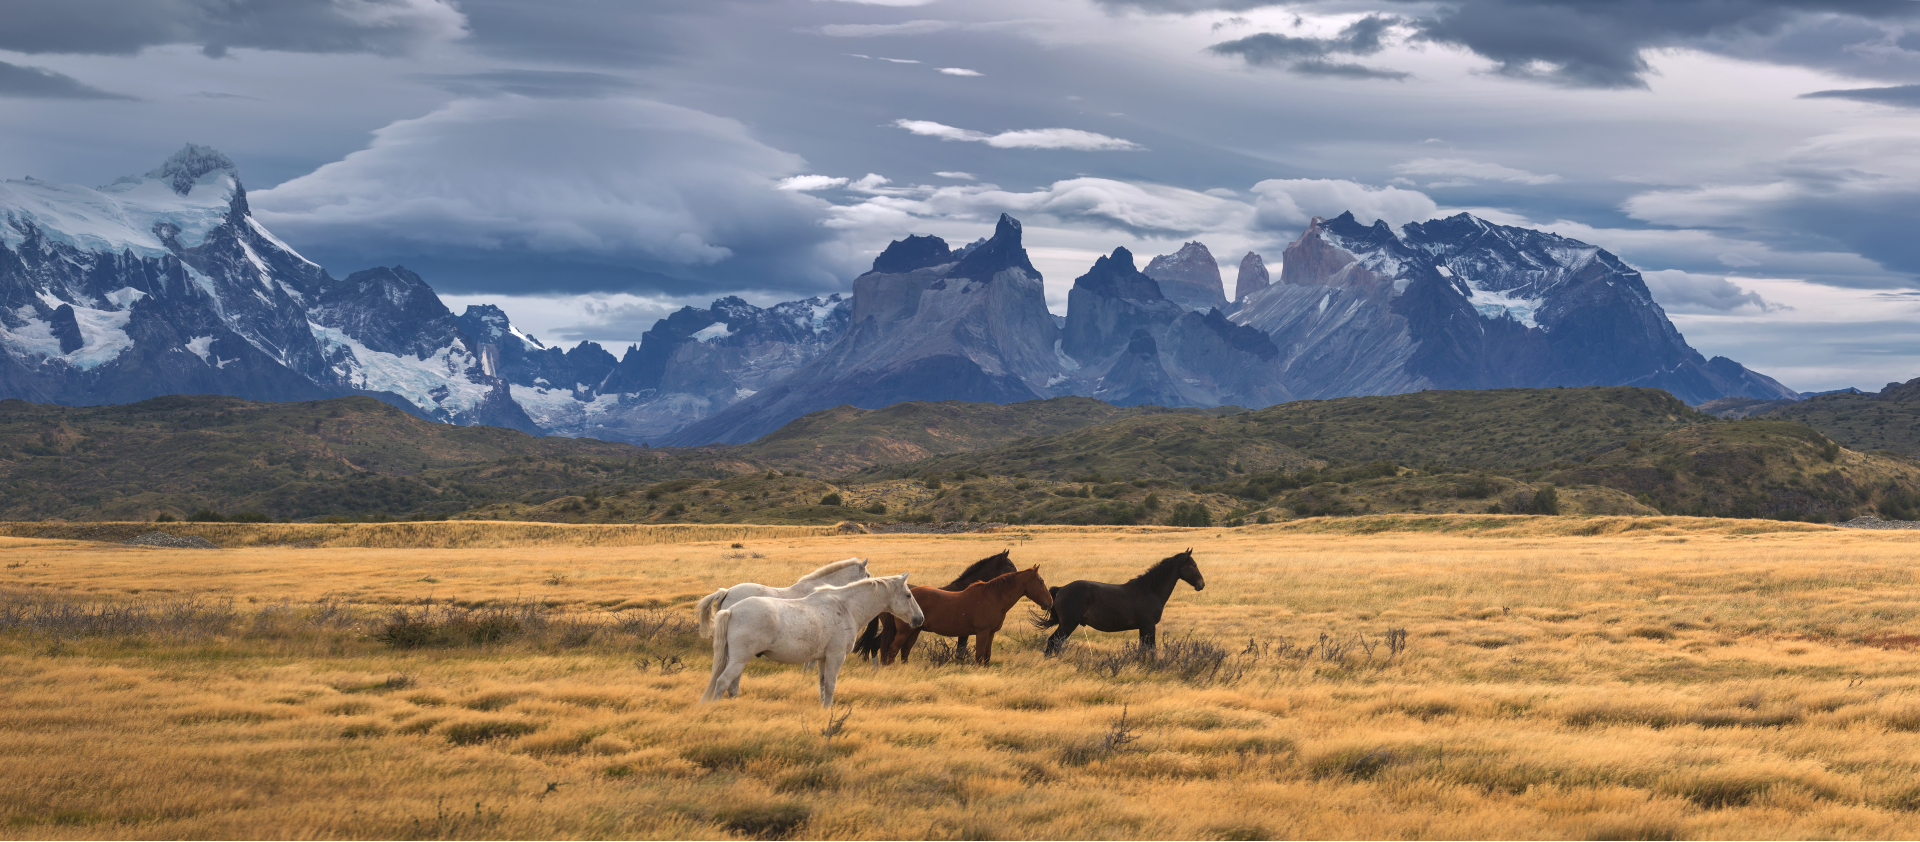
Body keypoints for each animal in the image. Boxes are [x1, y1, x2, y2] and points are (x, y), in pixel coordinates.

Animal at [702, 575, 925, 713]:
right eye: (908, 595)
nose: (919, 619)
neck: (845, 607)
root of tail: (731, 611)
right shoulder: (836, 657)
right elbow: (831, 685)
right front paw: (828, 710)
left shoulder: (822, 659)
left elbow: (822, 685)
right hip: (739, 660)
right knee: (723, 682)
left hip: (737, 660)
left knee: (732, 685)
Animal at [879, 567, 1059, 667]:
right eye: (1041, 581)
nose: (1050, 602)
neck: (993, 597)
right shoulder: (982, 632)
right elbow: (979, 656)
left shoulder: (991, 634)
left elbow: (987, 656)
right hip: (904, 632)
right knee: (892, 651)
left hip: (915, 631)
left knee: (904, 652)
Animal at [1036, 548, 1198, 659]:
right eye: (1194, 566)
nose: (1201, 584)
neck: (1150, 590)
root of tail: (1062, 589)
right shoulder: (1149, 626)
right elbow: (1150, 648)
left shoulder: (1143, 627)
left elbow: (1143, 648)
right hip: (1068, 624)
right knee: (1053, 642)